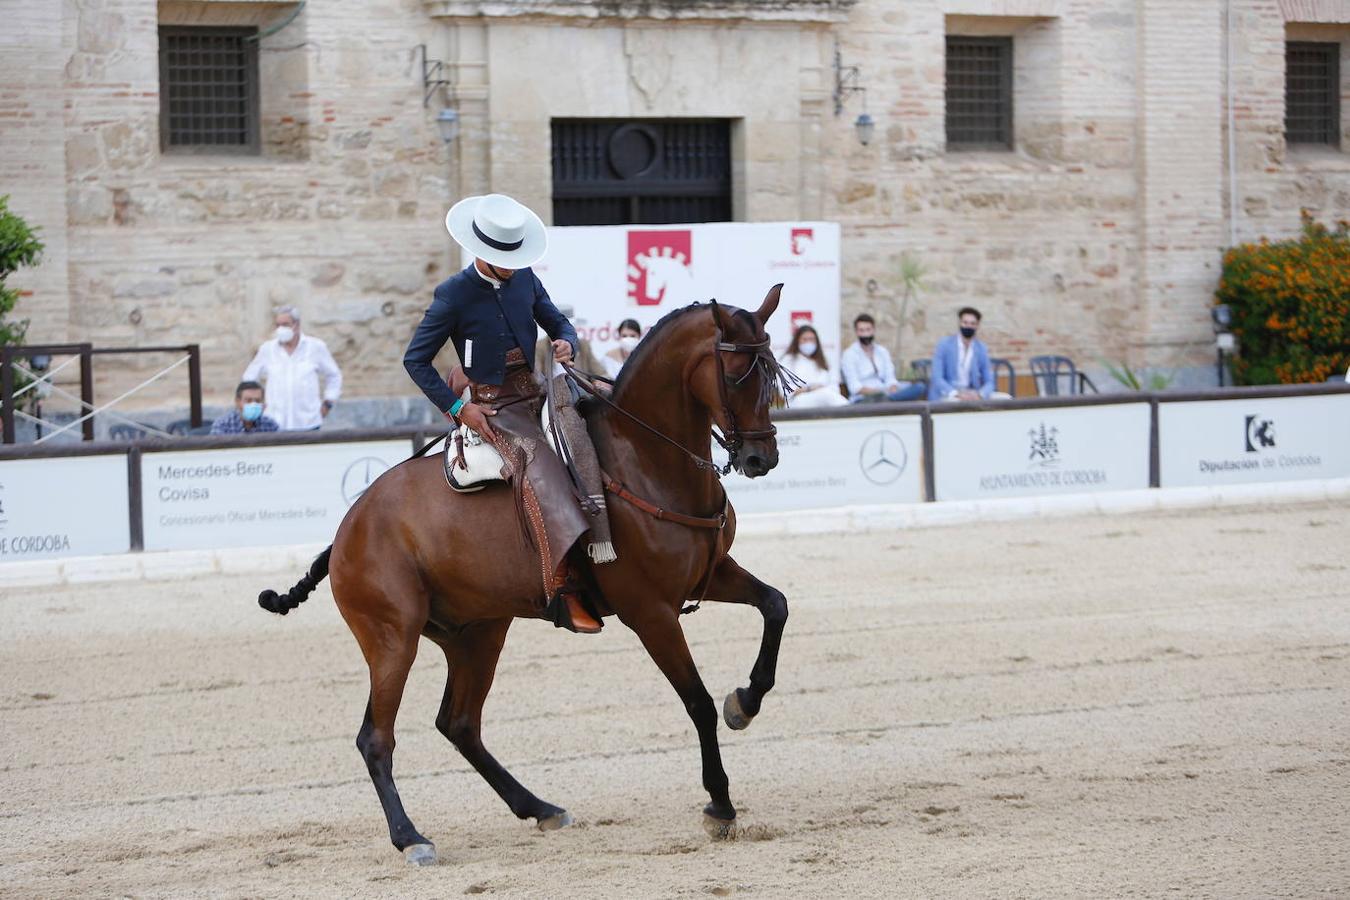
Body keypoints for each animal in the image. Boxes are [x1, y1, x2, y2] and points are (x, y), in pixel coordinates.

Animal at [257, 287, 793, 863]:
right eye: (736, 375)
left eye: (773, 373)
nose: (761, 457)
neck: (644, 460)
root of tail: (348, 527)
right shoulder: (650, 612)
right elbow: (696, 701)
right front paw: (720, 804)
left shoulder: (710, 576)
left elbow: (775, 605)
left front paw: (745, 702)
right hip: (392, 639)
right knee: (376, 738)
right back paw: (411, 837)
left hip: (477, 633)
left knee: (460, 724)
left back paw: (539, 807)